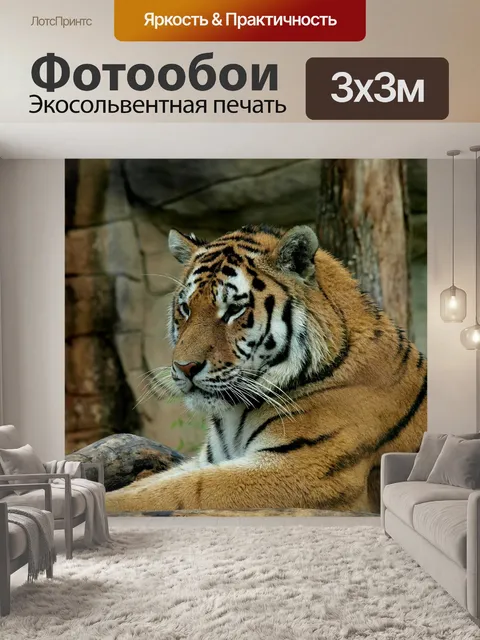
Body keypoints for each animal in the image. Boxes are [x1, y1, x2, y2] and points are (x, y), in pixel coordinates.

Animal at [105, 224, 427, 514]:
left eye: (233, 310)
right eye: (185, 308)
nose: (185, 367)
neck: (234, 414)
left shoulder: (301, 468)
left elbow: (183, 490)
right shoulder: (210, 460)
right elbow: (153, 483)